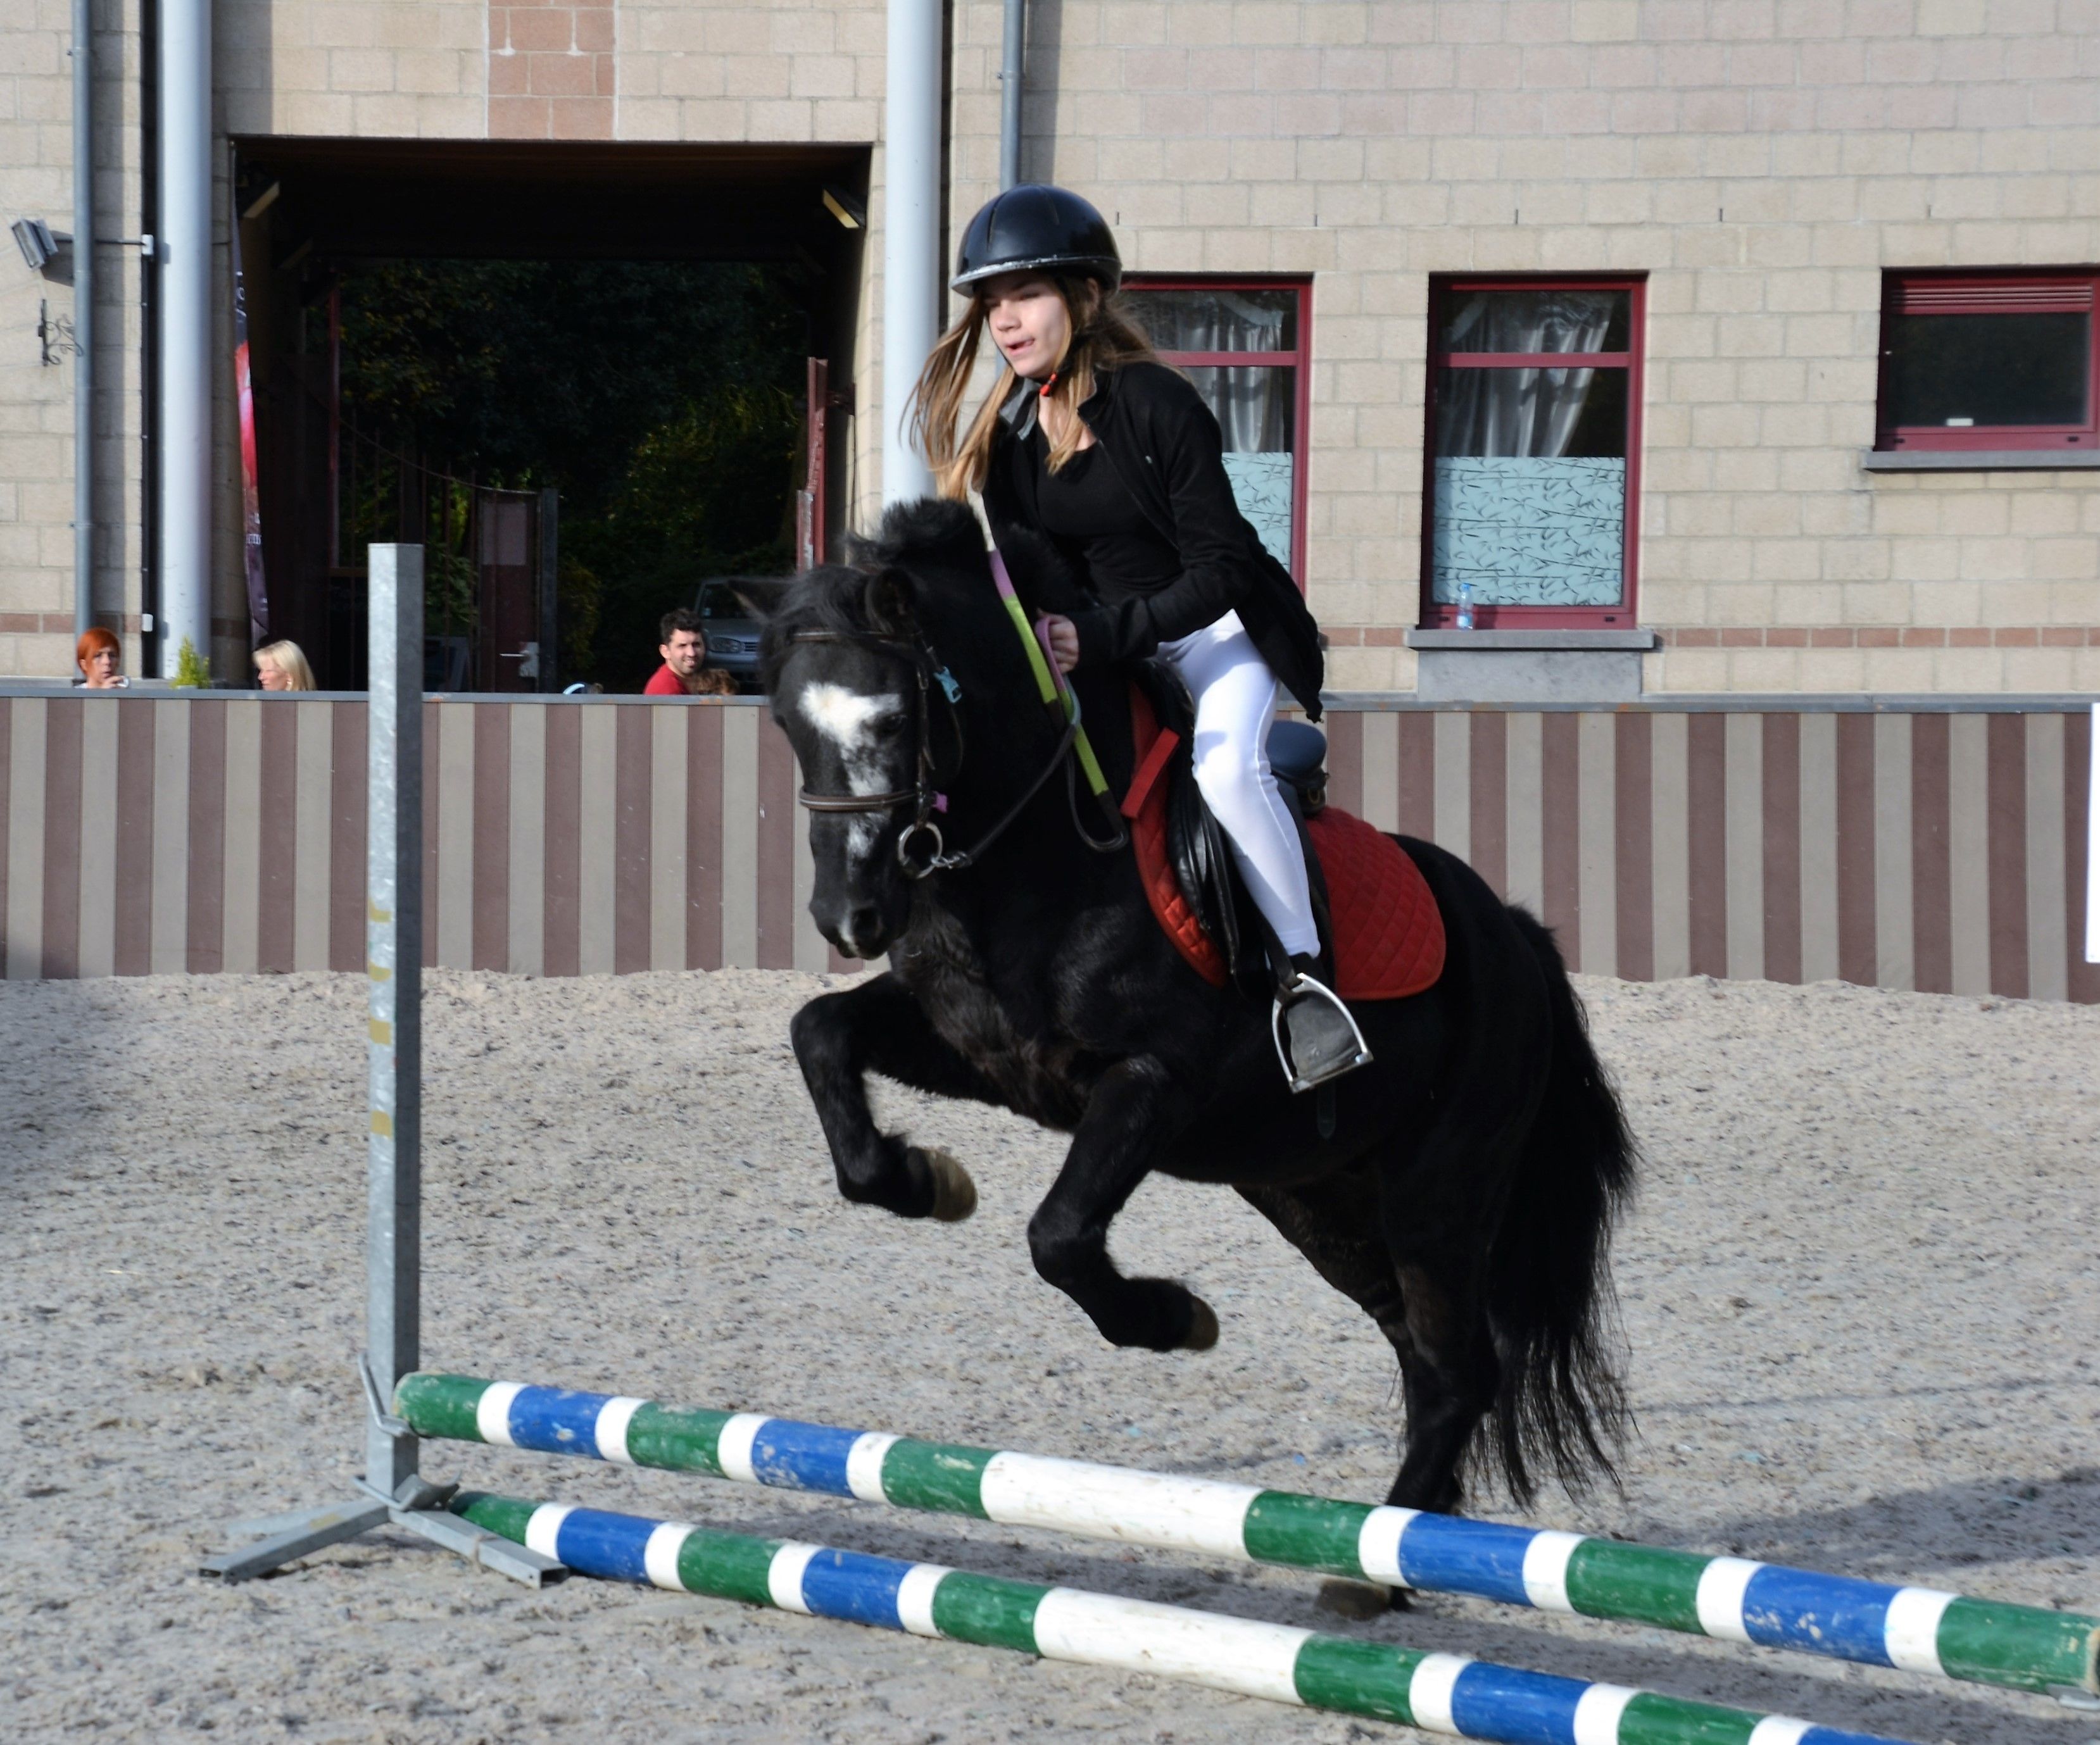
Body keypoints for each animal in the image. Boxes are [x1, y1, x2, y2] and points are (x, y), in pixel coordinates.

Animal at [743, 497, 1635, 1520]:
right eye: (785, 721)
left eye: (892, 717)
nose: (847, 917)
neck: (1041, 853)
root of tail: (1514, 934)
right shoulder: (982, 1053)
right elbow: (820, 1036)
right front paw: (926, 1181)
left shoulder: (1153, 1082)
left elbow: (1059, 1237)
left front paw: (1175, 1317)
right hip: (1313, 1191)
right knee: (1417, 1349)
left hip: (1436, 1194)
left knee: (1456, 1371)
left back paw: (1381, 1540)